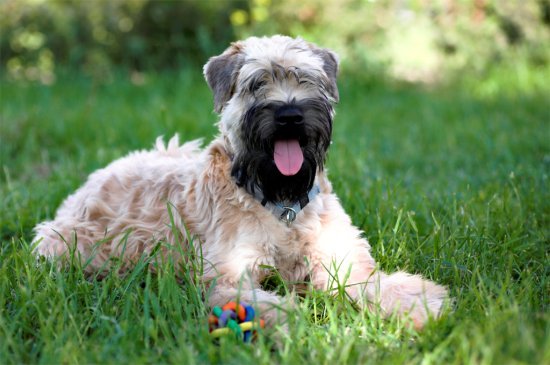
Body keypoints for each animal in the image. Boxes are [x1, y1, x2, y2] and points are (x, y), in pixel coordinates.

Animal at [33, 35, 448, 328]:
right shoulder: (230, 274)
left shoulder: (341, 256)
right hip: (62, 243)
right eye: (256, 83)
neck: (282, 203)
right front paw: (298, 324)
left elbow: (373, 282)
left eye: (306, 79)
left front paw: (419, 305)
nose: (290, 115)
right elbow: (264, 304)